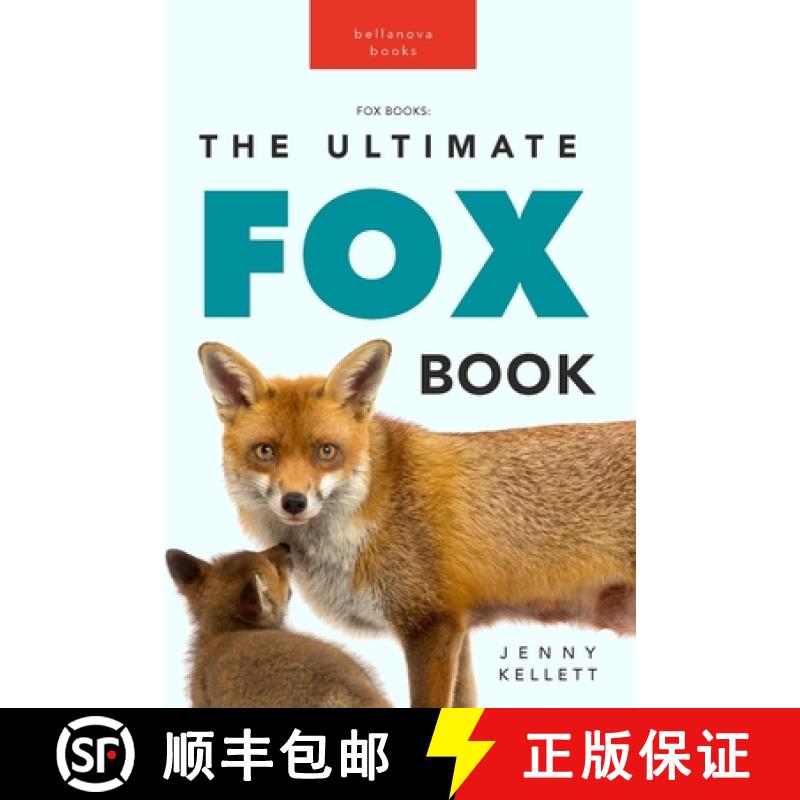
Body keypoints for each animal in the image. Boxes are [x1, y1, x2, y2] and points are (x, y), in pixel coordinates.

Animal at [198, 339, 635, 708]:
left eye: (326, 451)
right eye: (265, 452)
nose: (293, 502)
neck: (375, 509)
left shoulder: (430, 626)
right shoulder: (458, 627)